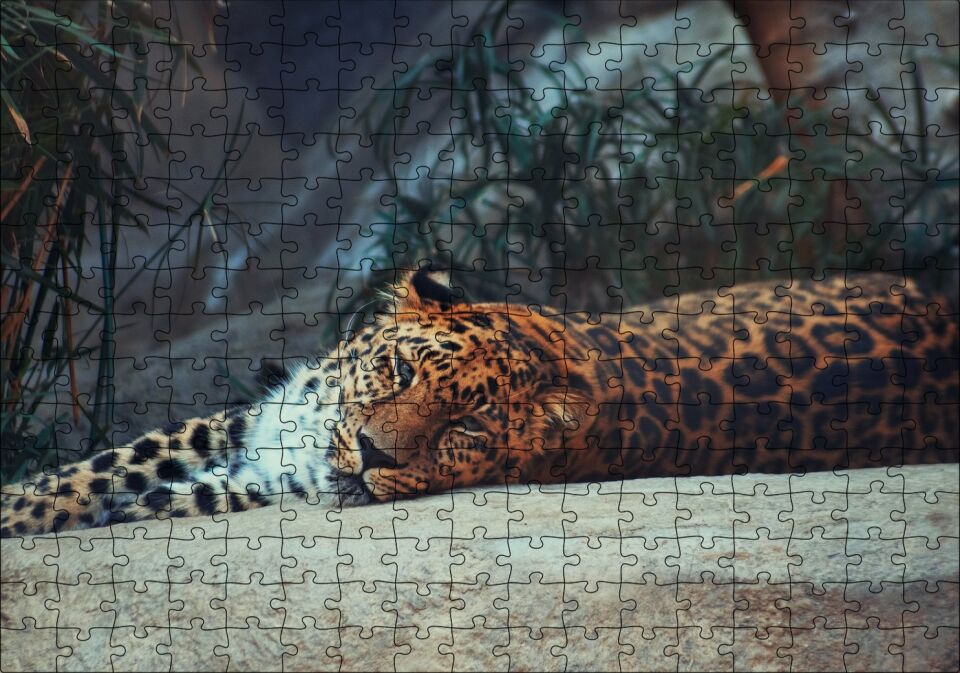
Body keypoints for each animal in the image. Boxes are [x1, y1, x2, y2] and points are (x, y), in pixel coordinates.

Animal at [2, 269, 958, 537]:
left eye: (462, 429)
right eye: (396, 371)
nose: (372, 454)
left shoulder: (269, 475)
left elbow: (163, 490)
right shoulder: (252, 418)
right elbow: (102, 464)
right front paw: (21, 500)